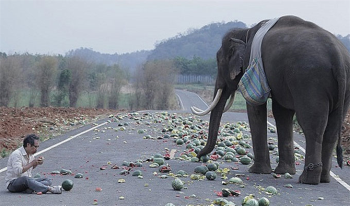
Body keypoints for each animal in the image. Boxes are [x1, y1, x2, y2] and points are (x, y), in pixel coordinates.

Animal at [191, 15, 350, 184]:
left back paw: (308, 180)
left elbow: (255, 107)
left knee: (312, 125)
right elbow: (281, 113)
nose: (200, 157)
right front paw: (284, 171)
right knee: (332, 129)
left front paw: (257, 171)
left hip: (310, 80)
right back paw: (324, 179)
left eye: (219, 62)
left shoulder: (252, 64)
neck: (246, 32)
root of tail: (338, 58)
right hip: (343, 88)